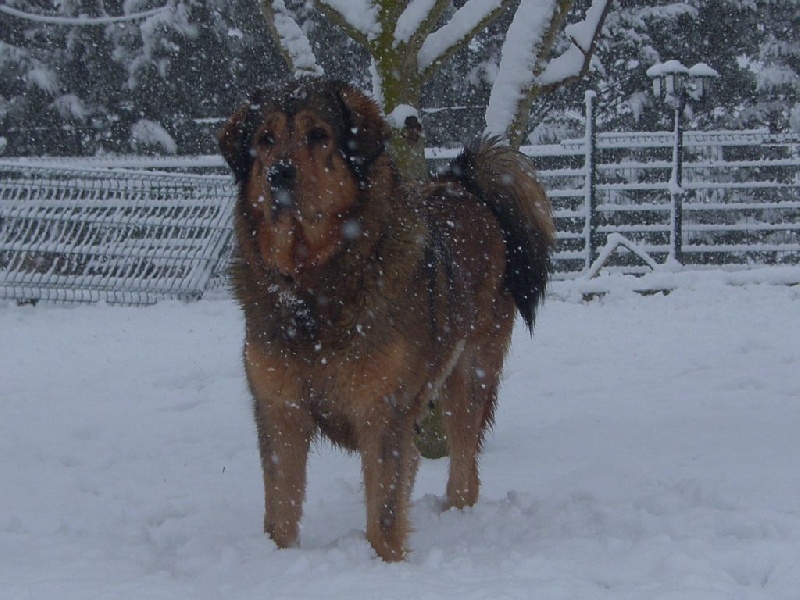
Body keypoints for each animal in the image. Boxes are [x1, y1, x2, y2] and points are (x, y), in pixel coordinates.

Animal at [220, 81, 556, 564]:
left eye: (319, 135)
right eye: (265, 139)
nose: (279, 175)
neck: (315, 285)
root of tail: (462, 186)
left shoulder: (384, 410)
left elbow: (383, 513)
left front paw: (387, 565)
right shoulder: (278, 408)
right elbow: (280, 510)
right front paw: (276, 560)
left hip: (469, 375)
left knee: (464, 468)